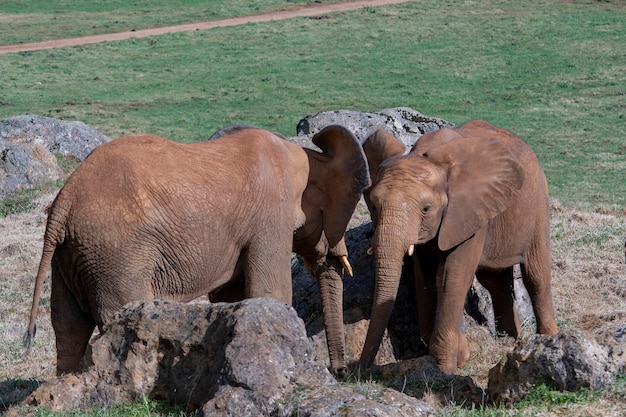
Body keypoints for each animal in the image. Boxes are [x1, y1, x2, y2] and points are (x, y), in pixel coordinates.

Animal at [24, 125, 368, 376]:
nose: (340, 373)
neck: (305, 154)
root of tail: (64, 199)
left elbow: (231, 297)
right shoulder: (272, 216)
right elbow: (271, 293)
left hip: (73, 254)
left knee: (68, 328)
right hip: (114, 254)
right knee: (117, 319)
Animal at [358, 118, 560, 372]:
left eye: (426, 209)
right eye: (374, 205)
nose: (355, 371)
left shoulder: (467, 212)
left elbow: (451, 277)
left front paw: (445, 370)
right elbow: (426, 279)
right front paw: (458, 357)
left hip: (538, 204)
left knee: (536, 275)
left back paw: (547, 340)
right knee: (495, 281)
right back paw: (510, 340)